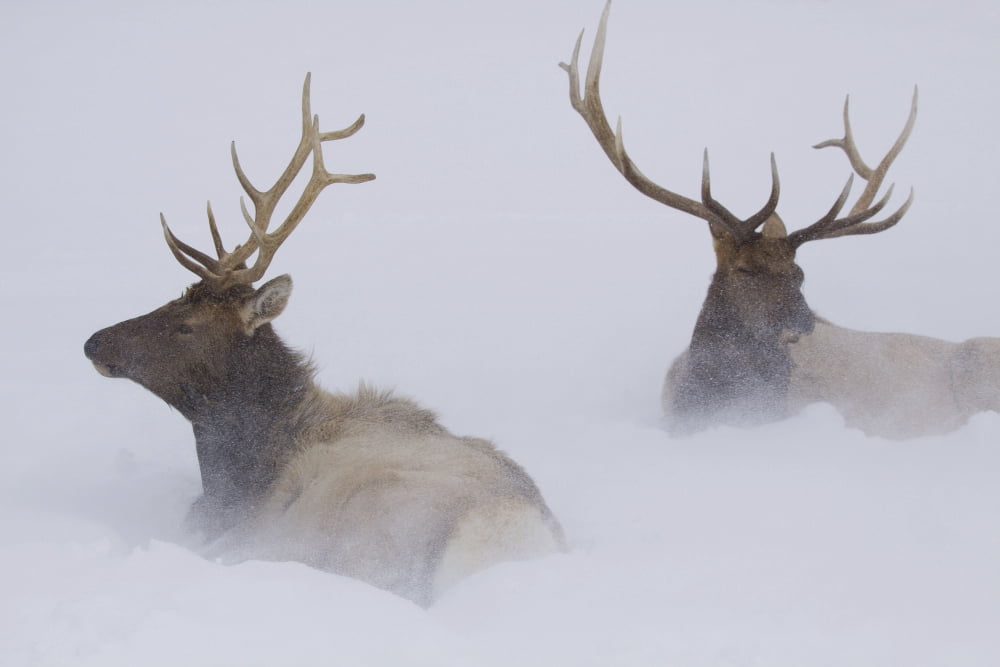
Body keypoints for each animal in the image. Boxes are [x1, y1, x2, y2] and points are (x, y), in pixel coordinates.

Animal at [84, 74, 565, 606]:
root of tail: (512, 545)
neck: (241, 466)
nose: (93, 343)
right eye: (171, 300)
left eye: (187, 324)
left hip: (369, 521)